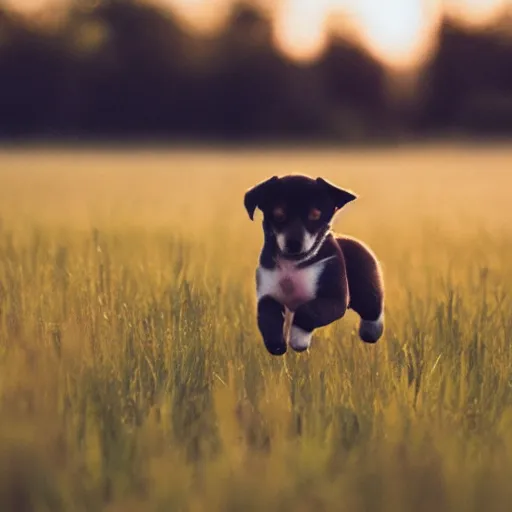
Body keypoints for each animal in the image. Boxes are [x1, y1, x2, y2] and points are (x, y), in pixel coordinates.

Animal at [244, 175, 384, 356]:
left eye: (315, 216)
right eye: (278, 215)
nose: (294, 243)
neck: (293, 263)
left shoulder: (335, 298)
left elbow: (307, 311)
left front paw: (298, 339)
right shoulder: (268, 294)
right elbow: (268, 318)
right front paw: (277, 345)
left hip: (368, 287)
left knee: (372, 310)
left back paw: (371, 331)